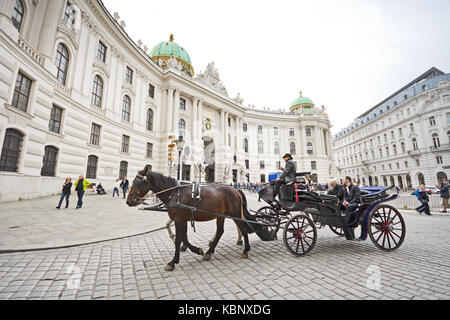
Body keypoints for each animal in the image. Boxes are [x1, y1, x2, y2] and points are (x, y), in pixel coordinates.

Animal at [126, 166, 274, 272]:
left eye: (139, 182)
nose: (128, 201)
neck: (175, 193)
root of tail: (236, 190)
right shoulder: (183, 219)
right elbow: (184, 237)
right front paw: (197, 250)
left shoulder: (179, 219)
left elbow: (179, 239)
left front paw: (173, 262)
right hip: (222, 215)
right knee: (221, 231)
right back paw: (209, 252)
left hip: (235, 214)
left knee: (242, 227)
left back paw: (245, 250)